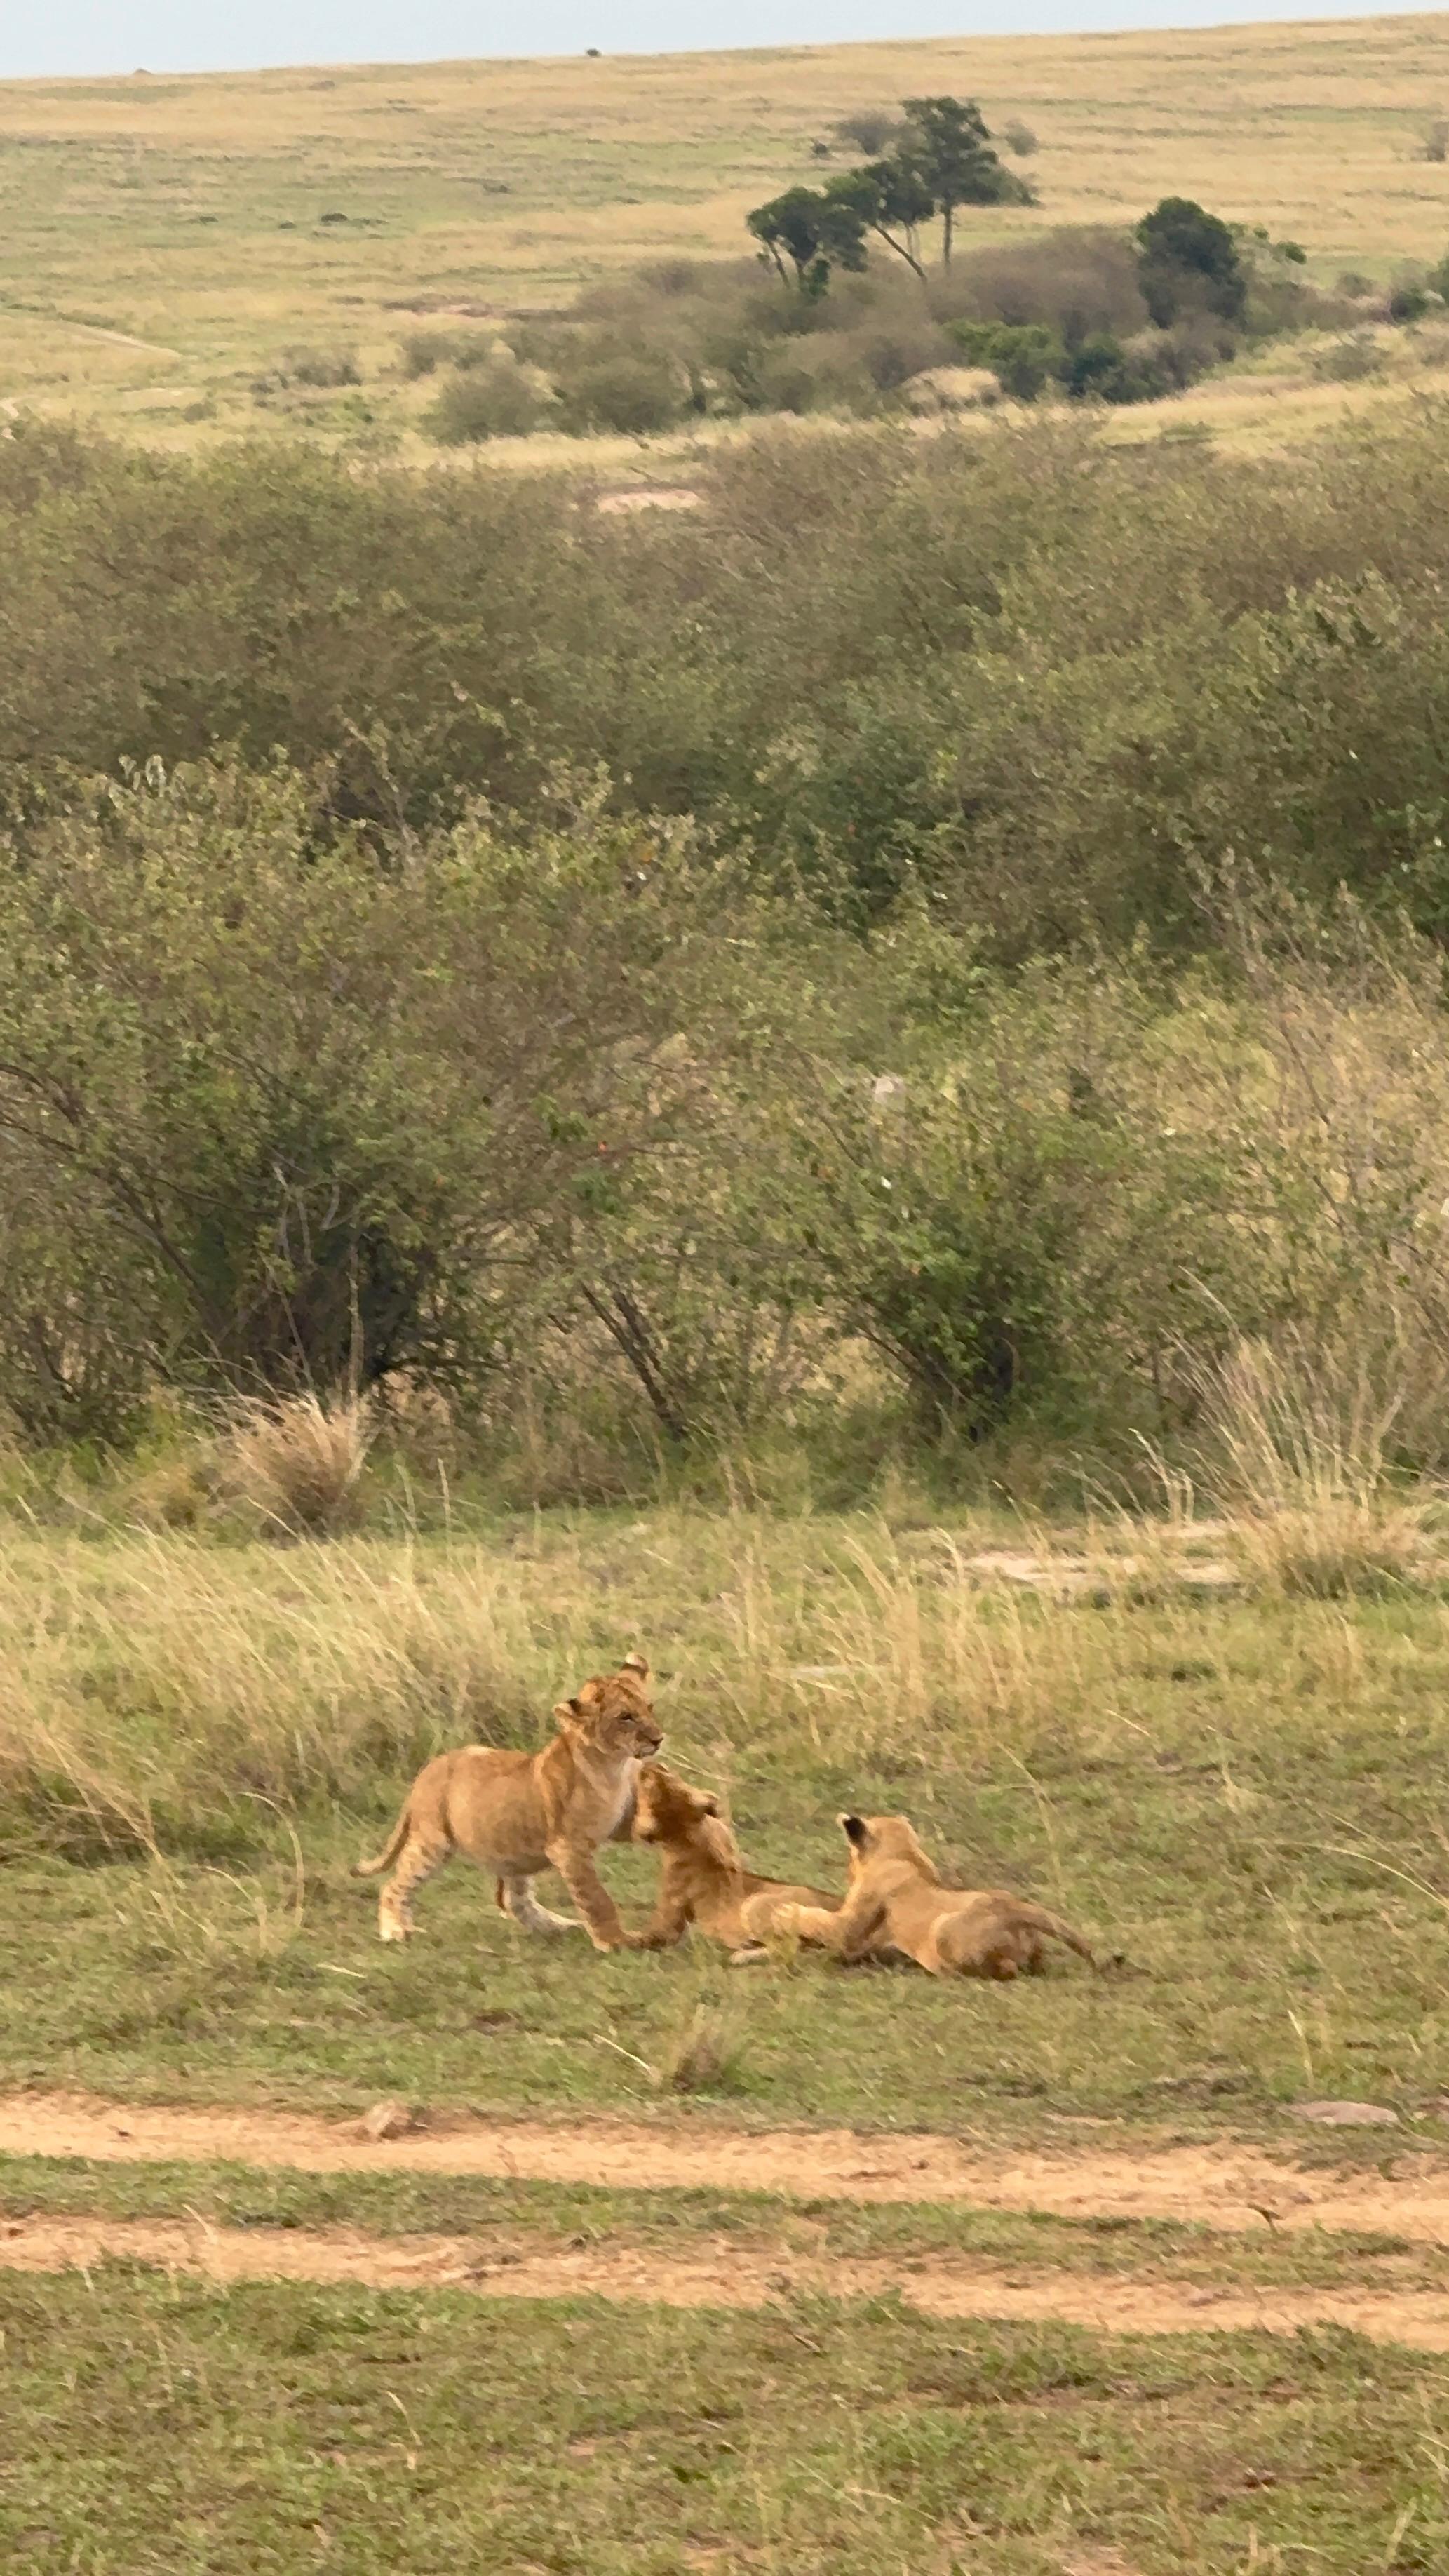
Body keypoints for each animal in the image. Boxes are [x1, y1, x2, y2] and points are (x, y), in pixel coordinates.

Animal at [353, 1653, 662, 1950]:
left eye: (650, 1707)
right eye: (625, 1717)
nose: (658, 1739)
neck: (613, 1767)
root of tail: (429, 1769)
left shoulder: (623, 1822)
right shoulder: (569, 1848)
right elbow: (596, 1898)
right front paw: (615, 1941)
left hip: (514, 1850)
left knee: (513, 1900)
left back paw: (559, 1926)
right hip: (433, 1842)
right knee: (395, 1885)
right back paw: (396, 1930)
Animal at [629, 1761, 837, 1957]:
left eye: (649, 1783)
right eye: (671, 1778)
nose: (650, 1765)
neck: (688, 1836)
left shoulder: (667, 1925)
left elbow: (642, 1937)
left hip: (756, 1905)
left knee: (790, 1947)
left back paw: (741, 1953)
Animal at [773, 1813, 1098, 1980]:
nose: (847, 1872)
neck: (903, 1854)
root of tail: (1015, 1909)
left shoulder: (848, 1932)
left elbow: (821, 1921)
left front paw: (785, 1912)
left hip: (942, 1929)